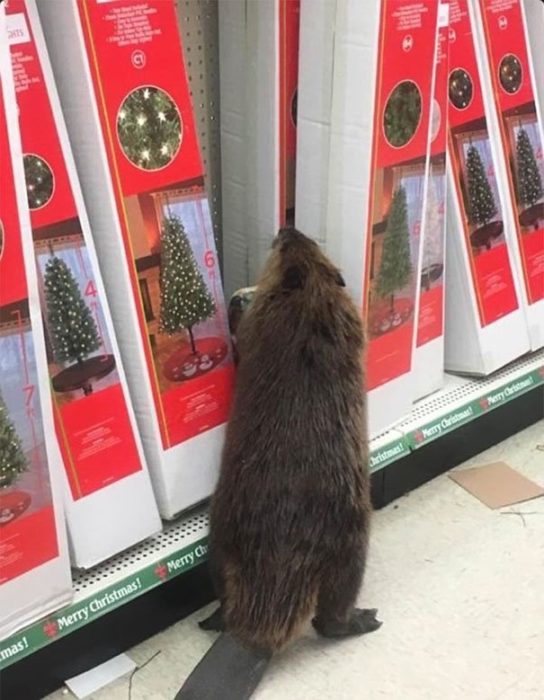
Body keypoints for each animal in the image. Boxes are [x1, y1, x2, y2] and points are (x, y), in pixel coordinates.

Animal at [176, 228, 380, 700]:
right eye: (290, 244)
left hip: (224, 541)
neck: (307, 299)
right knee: (329, 619)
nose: (287, 230)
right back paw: (367, 619)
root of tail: (253, 638)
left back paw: (212, 620)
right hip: (352, 544)